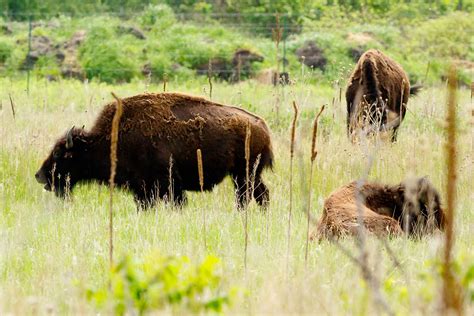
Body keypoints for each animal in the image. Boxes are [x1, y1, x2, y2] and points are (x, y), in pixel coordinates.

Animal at [36, 92, 274, 209]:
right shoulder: (143, 189)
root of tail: (262, 125)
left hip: (244, 174)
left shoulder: (168, 184)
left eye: (59, 153)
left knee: (248, 196)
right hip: (245, 175)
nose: (39, 176)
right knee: (260, 195)